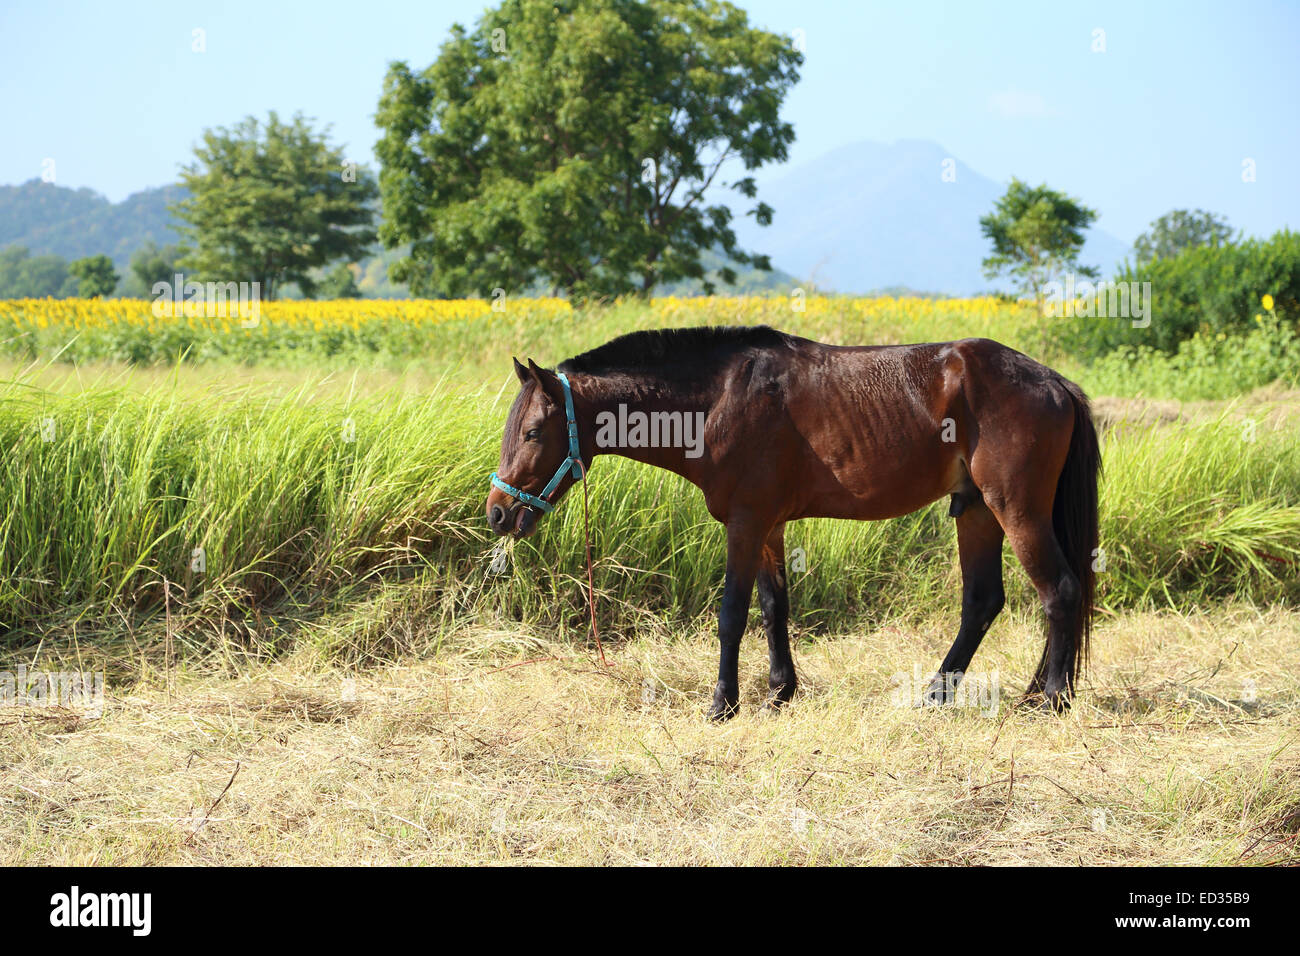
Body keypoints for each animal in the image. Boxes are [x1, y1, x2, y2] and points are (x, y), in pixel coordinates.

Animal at [486, 326, 1100, 719]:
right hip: (974, 510)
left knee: (1060, 591)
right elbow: (773, 606)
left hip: (1015, 509)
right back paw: (946, 695)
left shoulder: (744, 523)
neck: (719, 399)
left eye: (533, 433)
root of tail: (1053, 382)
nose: (498, 512)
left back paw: (1049, 701)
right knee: (983, 602)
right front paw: (781, 692)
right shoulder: (770, 527)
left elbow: (732, 614)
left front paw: (723, 703)